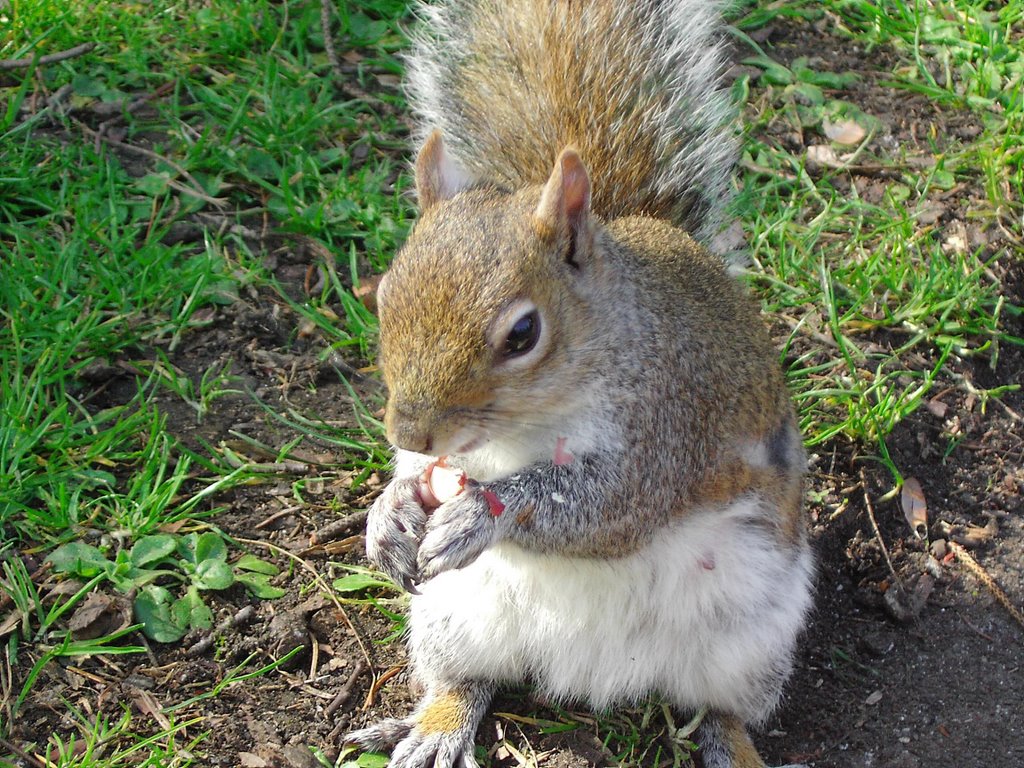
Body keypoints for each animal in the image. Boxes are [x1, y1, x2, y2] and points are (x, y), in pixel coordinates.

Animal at [348, 1, 811, 768]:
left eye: (522, 334)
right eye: (383, 296)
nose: (411, 427)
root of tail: (592, 677)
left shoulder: (669, 424)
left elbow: (609, 506)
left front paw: (484, 514)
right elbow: (415, 476)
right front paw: (389, 513)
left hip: (752, 641)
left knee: (726, 711)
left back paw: (734, 744)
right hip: (449, 614)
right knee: (466, 681)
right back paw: (437, 727)